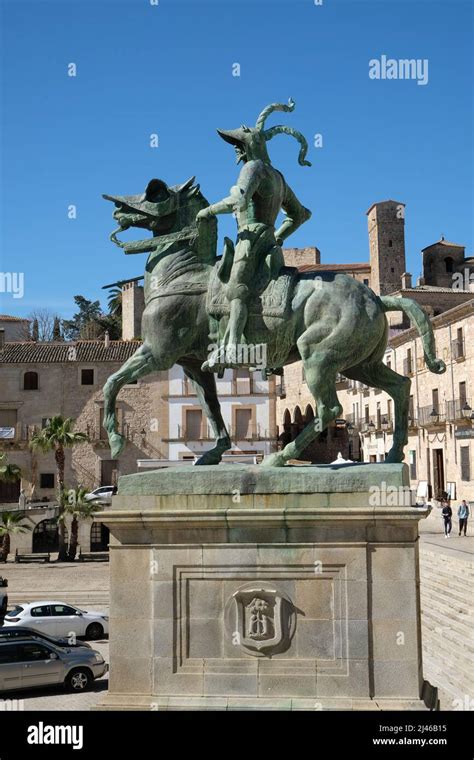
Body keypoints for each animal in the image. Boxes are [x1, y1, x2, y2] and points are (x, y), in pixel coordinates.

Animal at [102, 176, 446, 466]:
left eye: (156, 191)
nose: (117, 208)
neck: (180, 274)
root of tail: (375, 298)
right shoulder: (191, 365)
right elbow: (212, 409)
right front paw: (214, 452)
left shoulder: (157, 353)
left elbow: (112, 382)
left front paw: (116, 441)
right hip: (361, 365)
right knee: (400, 387)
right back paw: (394, 453)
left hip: (318, 356)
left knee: (330, 409)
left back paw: (281, 457)